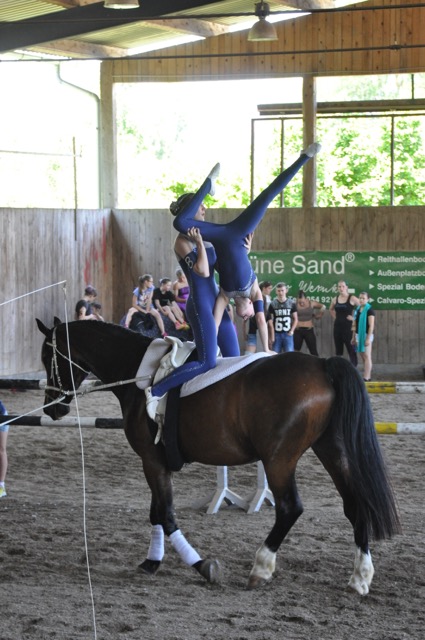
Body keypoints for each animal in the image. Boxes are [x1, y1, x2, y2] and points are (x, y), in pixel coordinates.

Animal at [35, 320, 398, 596]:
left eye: (47, 356)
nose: (53, 407)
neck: (139, 374)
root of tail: (322, 364)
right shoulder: (156, 463)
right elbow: (156, 513)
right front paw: (152, 561)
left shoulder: (151, 461)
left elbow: (165, 514)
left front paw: (202, 566)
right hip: (331, 449)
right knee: (355, 505)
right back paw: (360, 577)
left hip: (279, 459)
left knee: (290, 508)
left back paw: (261, 568)